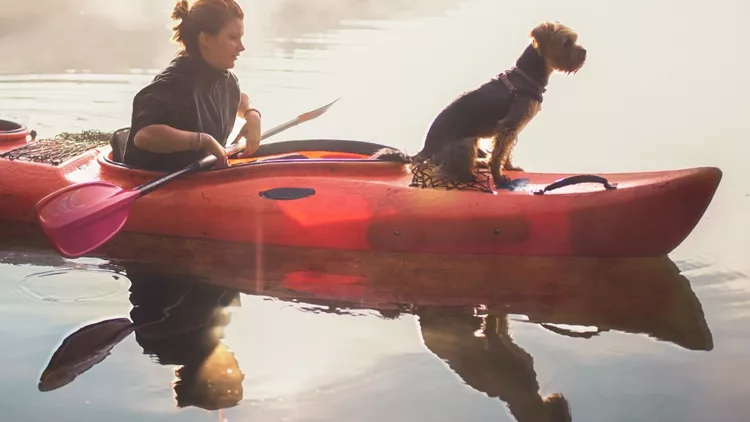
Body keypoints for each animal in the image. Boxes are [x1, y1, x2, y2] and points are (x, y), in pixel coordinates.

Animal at [374, 21, 592, 188]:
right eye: (566, 43)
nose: (584, 53)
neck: (526, 76)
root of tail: (425, 150)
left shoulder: (511, 130)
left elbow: (506, 152)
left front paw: (509, 167)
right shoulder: (507, 126)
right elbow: (497, 156)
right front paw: (499, 177)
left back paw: (479, 162)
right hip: (465, 143)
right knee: (446, 169)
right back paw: (468, 173)